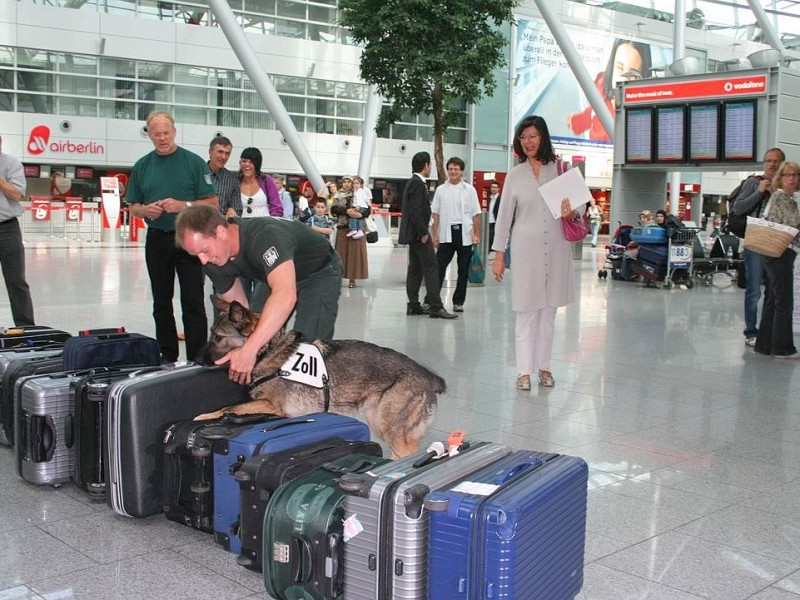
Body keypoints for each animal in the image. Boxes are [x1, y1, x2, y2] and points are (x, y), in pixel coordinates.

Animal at [194, 300, 444, 460]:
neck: (268, 350)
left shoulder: (270, 405)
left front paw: (204, 416)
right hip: (379, 421)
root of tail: (429, 376)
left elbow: (228, 407)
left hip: (389, 425)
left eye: (217, 337)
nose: (196, 359)